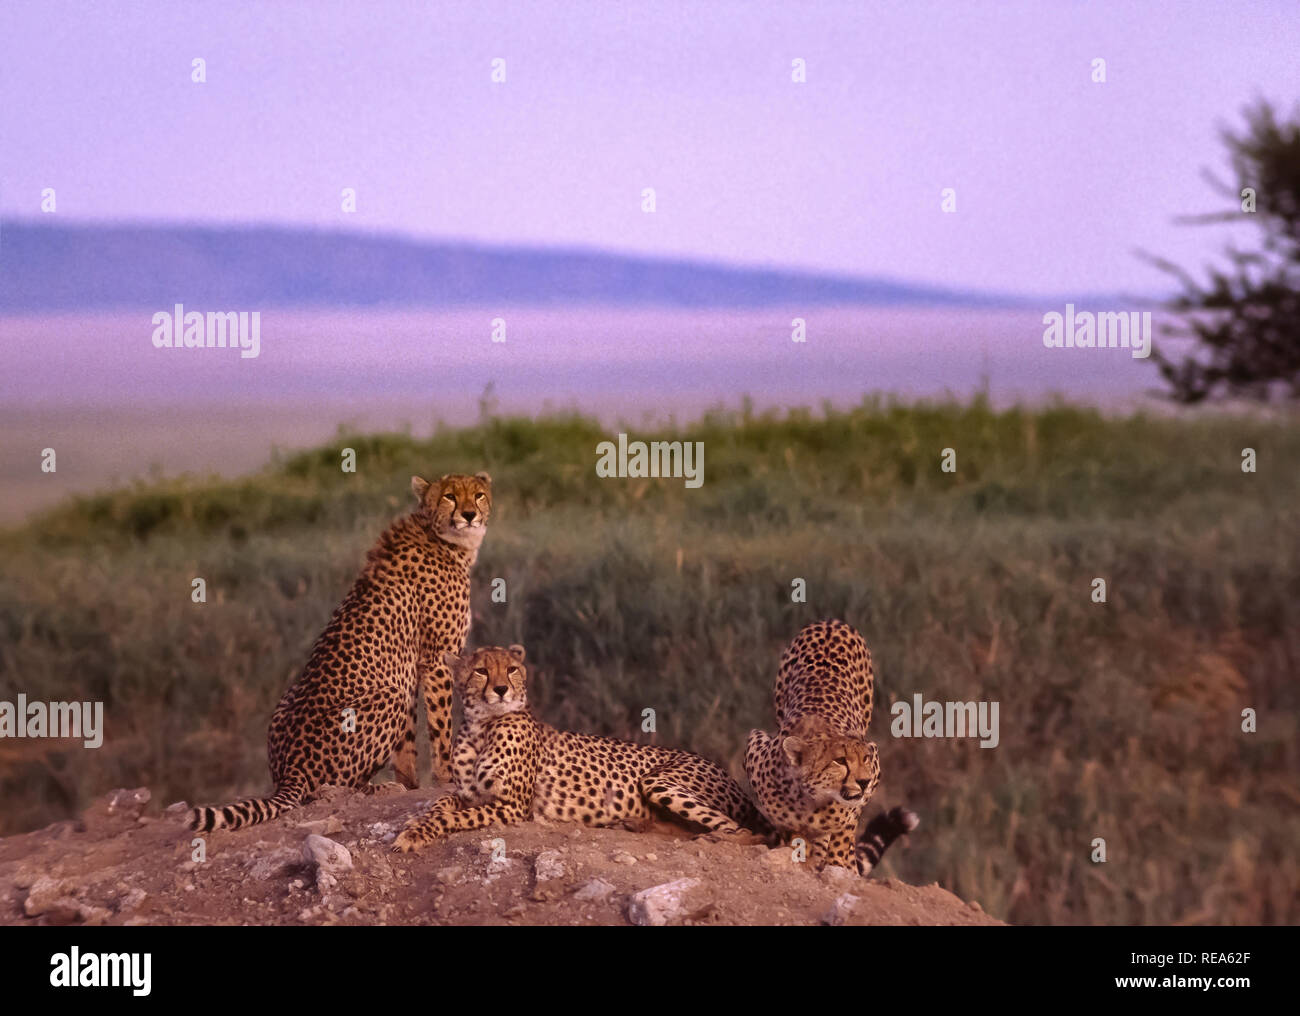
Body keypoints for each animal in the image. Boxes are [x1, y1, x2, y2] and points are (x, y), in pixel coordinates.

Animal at [188, 471, 492, 833]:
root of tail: (290, 769)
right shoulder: (436, 661)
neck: (441, 536)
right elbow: (441, 727)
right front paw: (445, 777)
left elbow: (407, 743)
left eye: (479, 494)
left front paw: (410, 783)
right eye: (449, 496)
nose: (470, 515)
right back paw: (376, 788)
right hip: (387, 697)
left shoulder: (409, 669)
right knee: (331, 787)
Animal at [392, 644, 772, 851]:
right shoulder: (469, 793)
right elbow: (442, 803)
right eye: (481, 671)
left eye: (512, 669)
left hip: (658, 781)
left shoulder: (513, 806)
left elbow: (453, 816)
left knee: (746, 831)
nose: (501, 689)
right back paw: (636, 824)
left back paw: (713, 839)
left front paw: (414, 835)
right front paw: (418, 823)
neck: (481, 726)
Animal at [745, 618, 917, 876]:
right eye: (840, 761)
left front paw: (837, 863)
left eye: (865, 759)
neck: (812, 800)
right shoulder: (756, 744)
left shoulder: (873, 769)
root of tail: (831, 622)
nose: (863, 781)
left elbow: (844, 827)